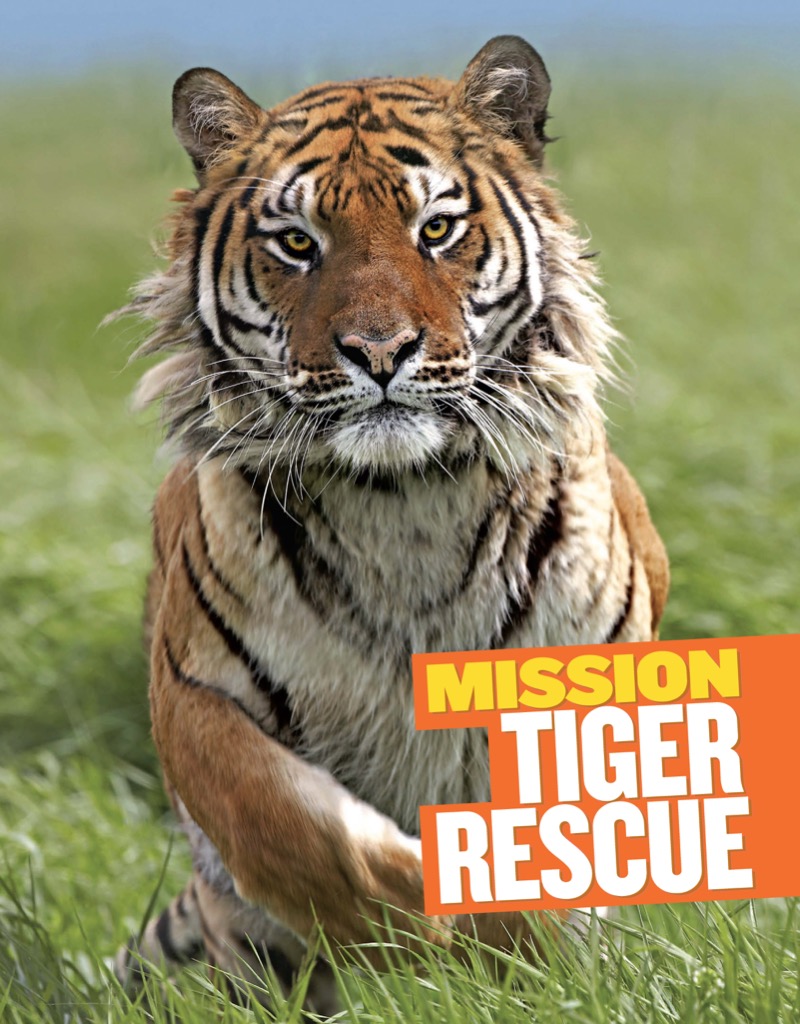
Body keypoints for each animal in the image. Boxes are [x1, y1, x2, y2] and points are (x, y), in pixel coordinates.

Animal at [112, 34, 669, 1012]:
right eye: (299, 244)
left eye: (435, 230)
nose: (378, 352)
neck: (403, 506)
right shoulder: (193, 695)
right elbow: (292, 829)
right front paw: (428, 928)